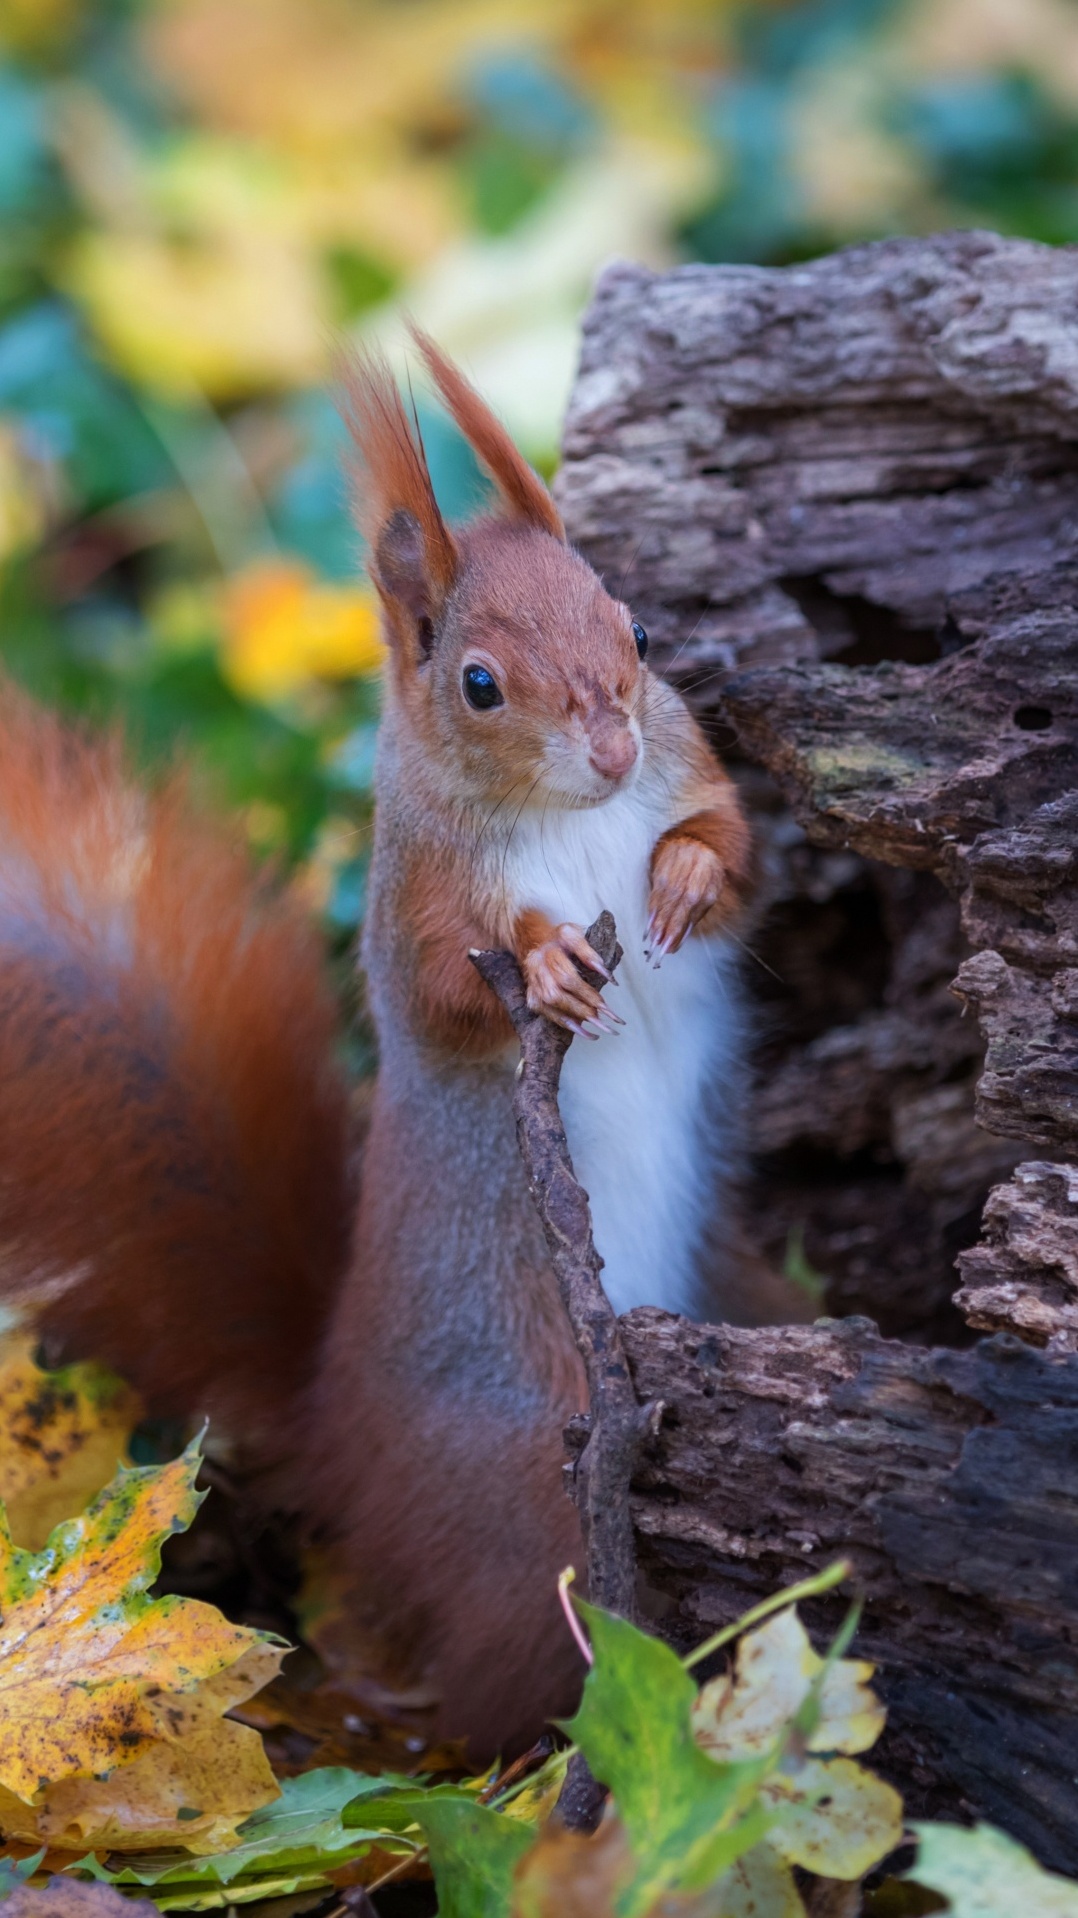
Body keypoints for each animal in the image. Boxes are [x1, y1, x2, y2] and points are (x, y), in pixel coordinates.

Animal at [0, 326, 751, 1756]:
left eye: (636, 627)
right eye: (478, 685)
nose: (611, 743)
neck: (571, 817)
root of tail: (338, 1420)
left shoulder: (683, 767)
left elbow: (731, 849)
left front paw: (681, 878)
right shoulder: (416, 906)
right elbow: (448, 990)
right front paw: (549, 962)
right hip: (534, 1477)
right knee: (521, 1659)